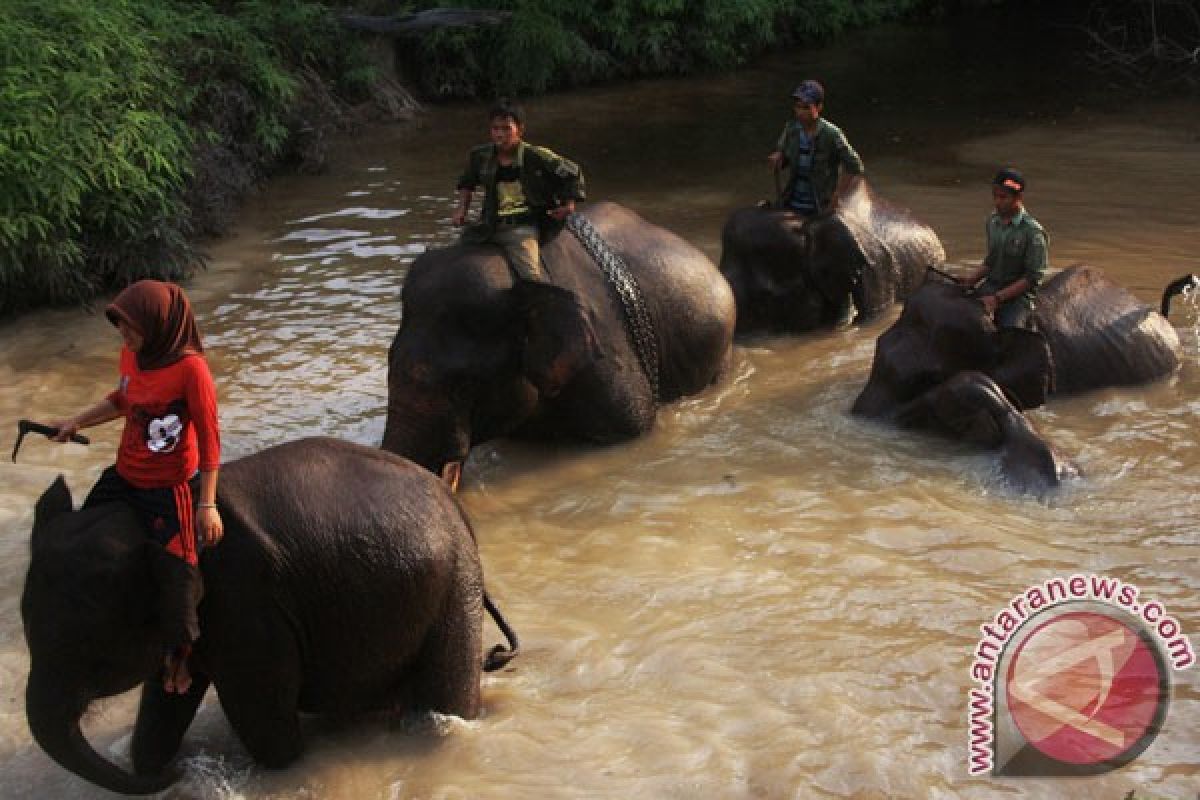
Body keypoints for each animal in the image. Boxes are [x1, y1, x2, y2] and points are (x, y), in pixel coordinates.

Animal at [18, 438, 516, 796]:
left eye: (88, 651)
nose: (179, 776)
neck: (150, 519)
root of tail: (455, 504)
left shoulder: (248, 603)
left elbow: (268, 734)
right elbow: (165, 701)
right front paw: (154, 763)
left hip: (454, 588)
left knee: (448, 701)